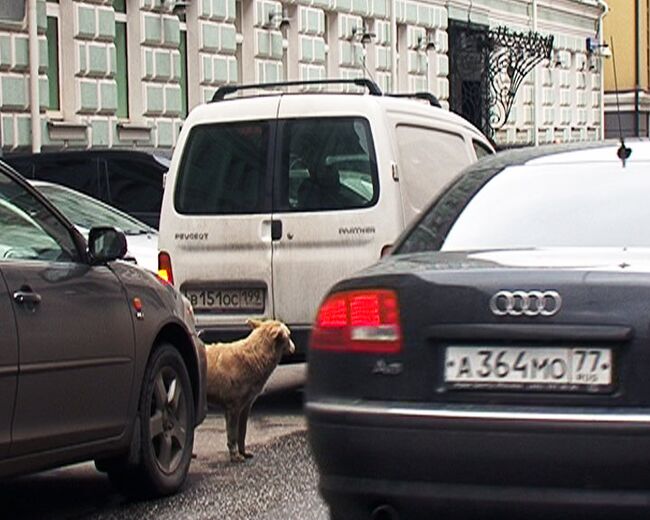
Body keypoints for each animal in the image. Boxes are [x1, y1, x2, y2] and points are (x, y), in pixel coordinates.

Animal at [204, 318, 294, 462]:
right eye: (289, 336)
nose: (294, 347)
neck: (254, 356)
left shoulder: (246, 407)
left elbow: (242, 432)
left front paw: (243, 452)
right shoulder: (233, 408)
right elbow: (232, 434)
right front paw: (235, 455)